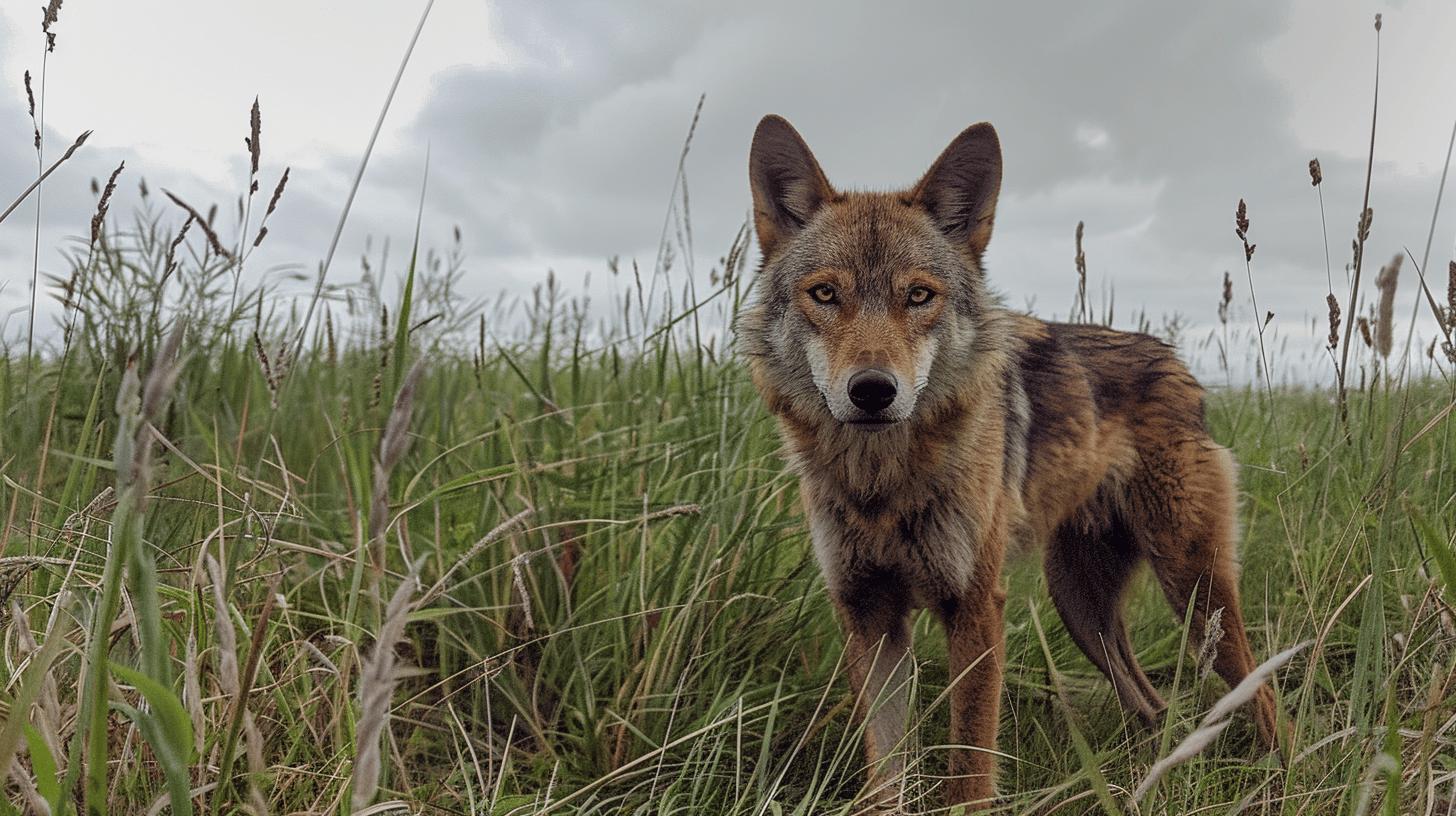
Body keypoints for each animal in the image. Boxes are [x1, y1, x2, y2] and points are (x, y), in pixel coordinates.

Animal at [745, 115, 1281, 810]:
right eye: (826, 294)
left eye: (919, 296)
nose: (872, 391)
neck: (882, 483)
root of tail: (1176, 363)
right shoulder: (871, 620)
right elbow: (887, 778)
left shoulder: (975, 609)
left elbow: (969, 771)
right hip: (1081, 608)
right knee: (1154, 704)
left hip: (1195, 591)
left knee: (1265, 696)